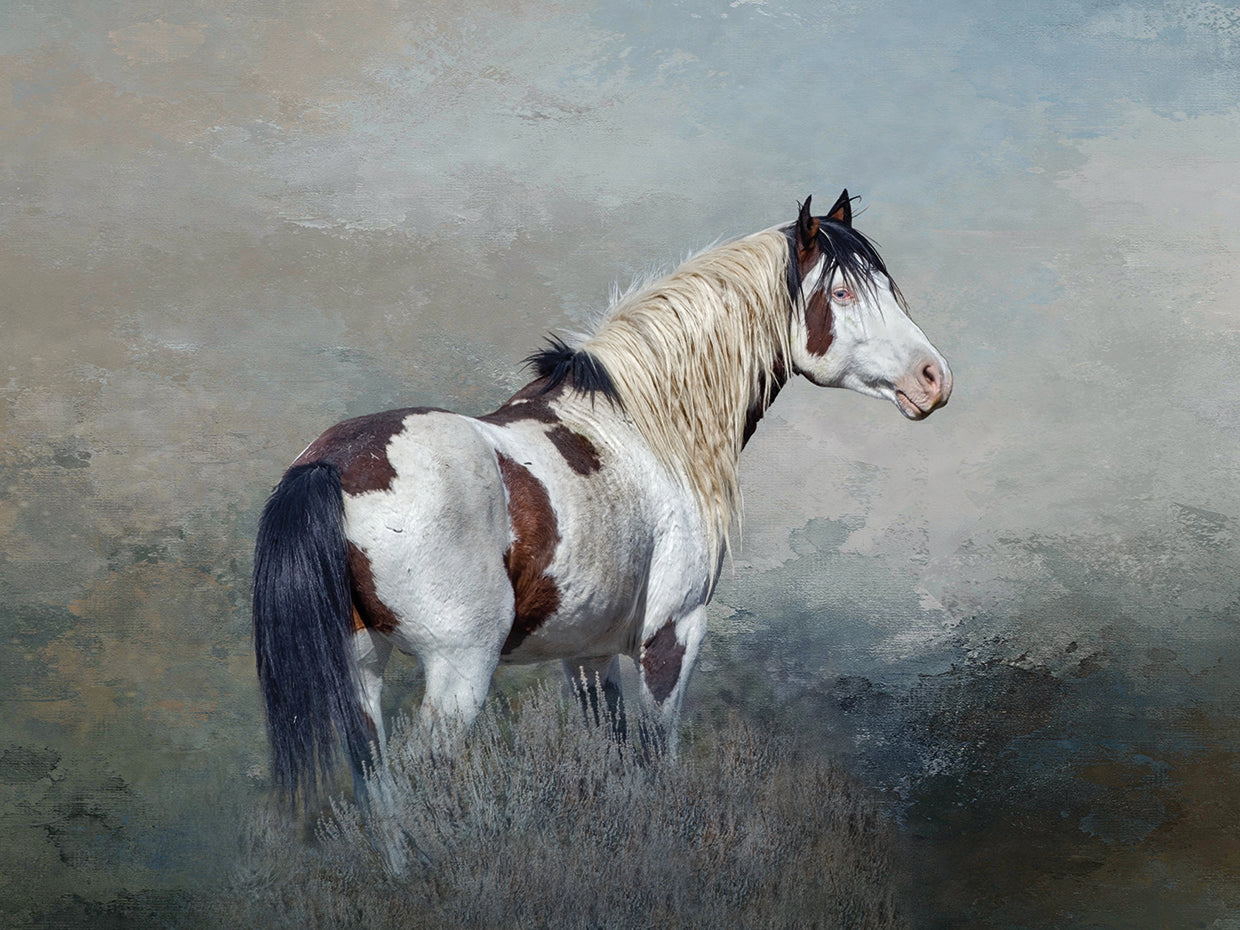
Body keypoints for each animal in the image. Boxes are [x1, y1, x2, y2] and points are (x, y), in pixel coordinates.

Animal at [252, 190, 952, 806]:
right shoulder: (672, 634)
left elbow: (615, 759)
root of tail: (329, 466)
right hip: (459, 668)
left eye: (887, 287)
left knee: (379, 793)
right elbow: (656, 761)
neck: (647, 425)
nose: (934, 378)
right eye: (842, 291)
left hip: (360, 670)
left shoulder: (586, 655)